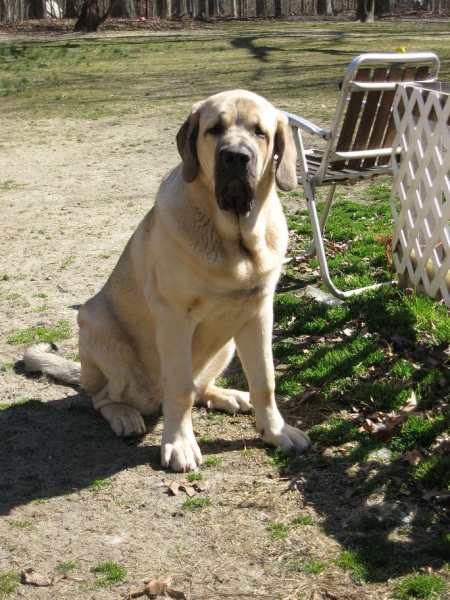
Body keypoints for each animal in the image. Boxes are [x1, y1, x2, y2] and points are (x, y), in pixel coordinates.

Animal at [24, 90, 312, 474]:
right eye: (214, 129)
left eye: (259, 132)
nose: (235, 157)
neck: (233, 240)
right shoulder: (175, 319)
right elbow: (180, 389)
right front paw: (180, 444)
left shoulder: (258, 313)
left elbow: (264, 379)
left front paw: (276, 431)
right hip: (96, 325)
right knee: (101, 398)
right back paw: (124, 415)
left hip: (227, 343)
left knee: (202, 386)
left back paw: (227, 395)